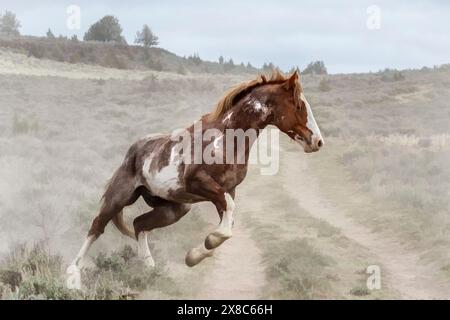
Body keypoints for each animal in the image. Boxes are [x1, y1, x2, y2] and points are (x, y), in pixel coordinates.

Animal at [66, 70, 324, 290]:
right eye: (299, 105)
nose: (318, 142)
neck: (226, 140)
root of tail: (134, 149)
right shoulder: (201, 184)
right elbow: (226, 222)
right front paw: (206, 246)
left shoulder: (228, 190)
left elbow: (228, 222)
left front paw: (196, 255)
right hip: (120, 197)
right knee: (96, 227)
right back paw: (73, 277)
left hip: (175, 208)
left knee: (139, 224)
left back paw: (149, 268)